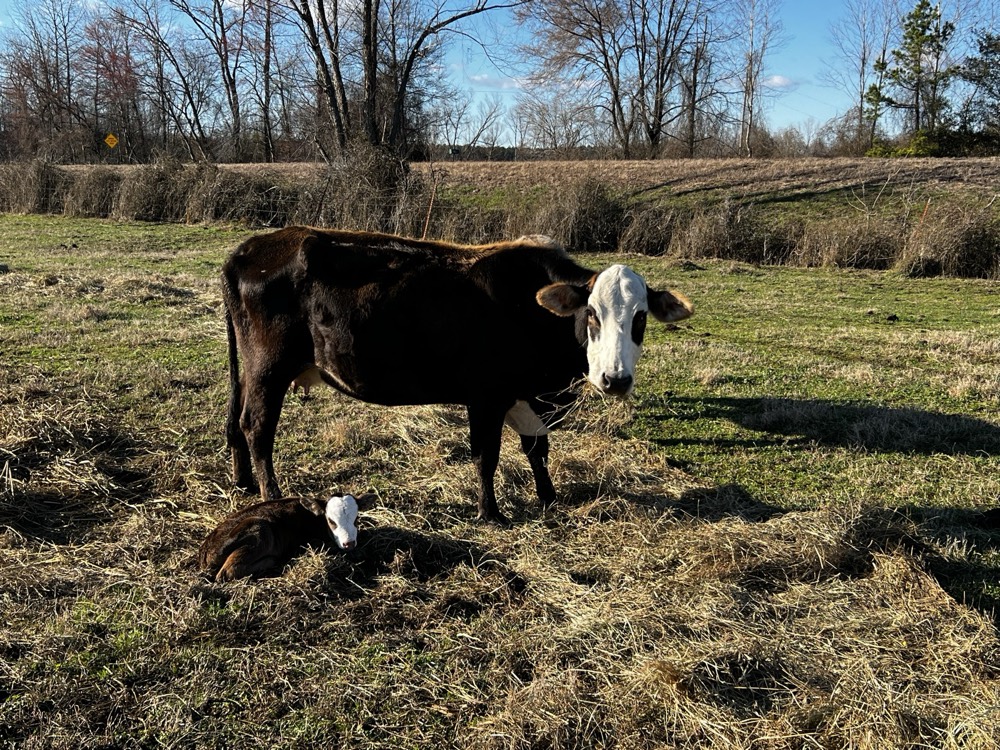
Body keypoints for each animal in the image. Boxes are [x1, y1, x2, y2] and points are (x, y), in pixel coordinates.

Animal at [198, 493, 376, 582]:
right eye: (331, 521)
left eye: (356, 519)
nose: (349, 543)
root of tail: (205, 550)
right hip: (259, 529)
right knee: (227, 572)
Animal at [222, 227, 693, 525]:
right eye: (592, 314)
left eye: (640, 318)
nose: (616, 380)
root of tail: (249, 249)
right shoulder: (486, 396)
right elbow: (487, 456)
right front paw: (491, 514)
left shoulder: (527, 398)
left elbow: (537, 450)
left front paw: (548, 498)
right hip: (269, 369)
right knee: (257, 426)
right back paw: (270, 494)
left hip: (251, 372)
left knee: (236, 422)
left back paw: (243, 482)